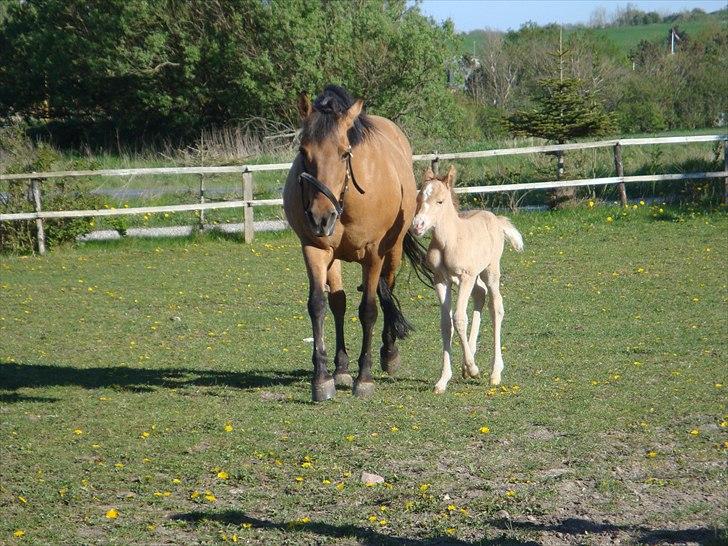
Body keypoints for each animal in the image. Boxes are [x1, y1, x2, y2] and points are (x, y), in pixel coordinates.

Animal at [280, 84, 426, 400]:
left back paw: (389, 352)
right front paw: (323, 378)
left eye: (345, 153)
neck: (348, 199)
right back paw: (342, 368)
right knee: (339, 303)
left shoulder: (373, 255)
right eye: (303, 151)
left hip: (392, 253)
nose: (321, 217)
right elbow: (319, 305)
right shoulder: (315, 249)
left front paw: (365, 377)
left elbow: (369, 310)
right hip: (333, 256)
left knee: (387, 292)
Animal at [410, 165, 524, 392]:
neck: (450, 240)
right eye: (418, 198)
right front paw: (443, 380)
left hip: (490, 270)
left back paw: (494, 372)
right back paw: (466, 363)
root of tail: (495, 219)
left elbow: (459, 318)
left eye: (440, 201)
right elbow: (446, 323)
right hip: (476, 276)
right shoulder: (441, 280)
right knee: (480, 294)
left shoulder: (465, 277)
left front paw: (474, 369)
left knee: (495, 306)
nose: (418, 225)